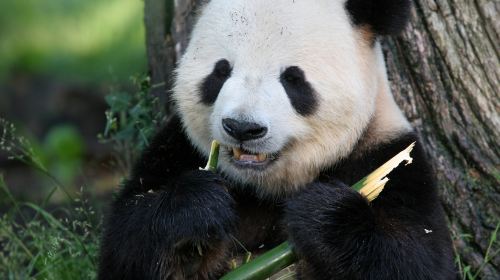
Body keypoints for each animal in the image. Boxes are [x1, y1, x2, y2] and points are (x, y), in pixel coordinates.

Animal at [97, 1, 458, 278]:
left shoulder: (389, 158)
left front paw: (320, 213)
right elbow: (127, 239)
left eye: (293, 79)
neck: (268, 187)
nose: (242, 128)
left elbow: (418, 258)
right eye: (221, 71)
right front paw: (199, 208)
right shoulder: (178, 147)